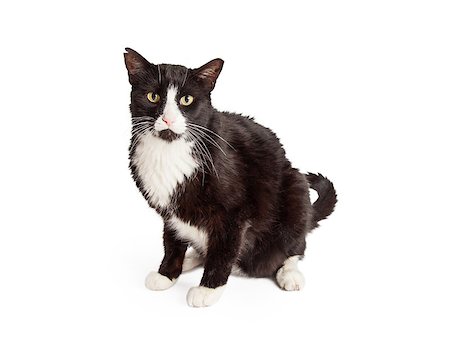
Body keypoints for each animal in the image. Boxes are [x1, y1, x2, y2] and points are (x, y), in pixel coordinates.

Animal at [125, 47, 336, 306]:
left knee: (294, 246)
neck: (169, 150)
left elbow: (223, 250)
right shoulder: (170, 212)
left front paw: (209, 289)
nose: (168, 119)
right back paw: (192, 259)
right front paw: (167, 274)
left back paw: (289, 273)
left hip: (295, 188)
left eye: (186, 100)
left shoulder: (234, 213)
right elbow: (172, 242)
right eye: (153, 96)